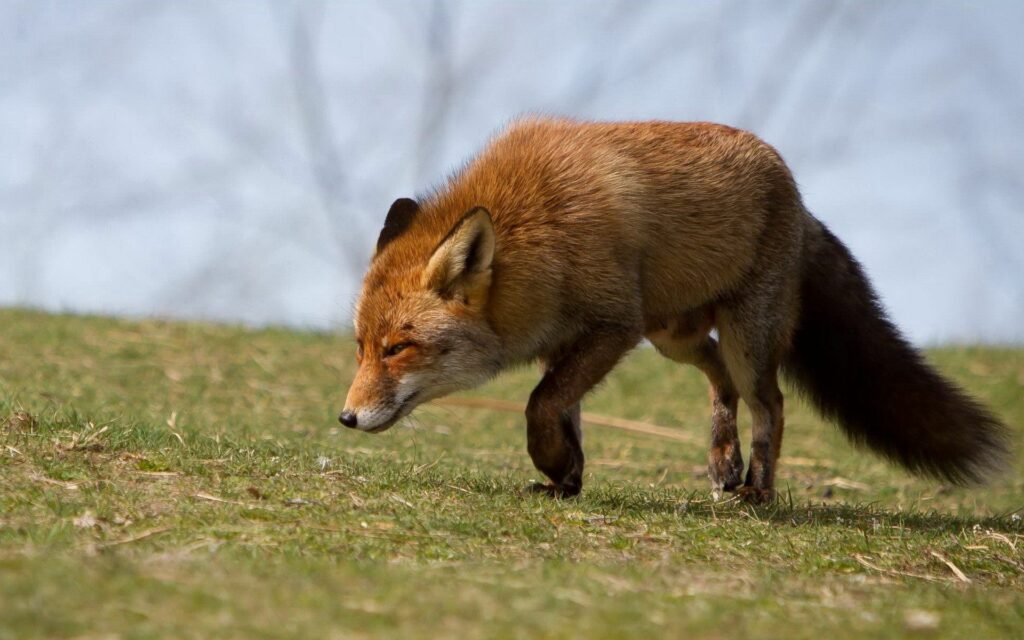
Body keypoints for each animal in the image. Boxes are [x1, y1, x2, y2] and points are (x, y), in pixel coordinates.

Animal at [340, 117, 1009, 502]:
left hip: (742, 336)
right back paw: (722, 461)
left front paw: (554, 464)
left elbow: (541, 405)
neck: (540, 233)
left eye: (398, 348)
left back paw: (758, 491)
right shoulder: (569, 342)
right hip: (674, 335)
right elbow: (564, 411)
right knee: (720, 380)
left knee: (770, 402)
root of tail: (797, 194)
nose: (345, 418)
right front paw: (566, 479)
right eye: (361, 347)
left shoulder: (613, 326)